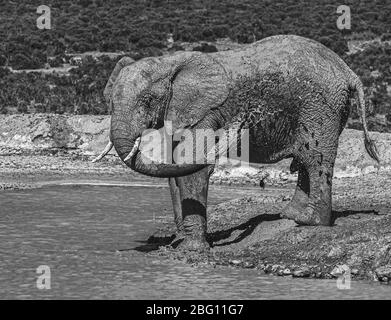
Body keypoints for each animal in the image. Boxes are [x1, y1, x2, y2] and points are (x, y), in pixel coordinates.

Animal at [92, 35, 380, 252]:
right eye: (110, 101)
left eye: (148, 101)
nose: (243, 119)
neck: (170, 63)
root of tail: (349, 71)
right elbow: (174, 169)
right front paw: (178, 242)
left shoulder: (206, 111)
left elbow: (191, 167)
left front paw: (191, 250)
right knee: (305, 159)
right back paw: (292, 216)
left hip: (319, 107)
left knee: (315, 157)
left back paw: (310, 222)